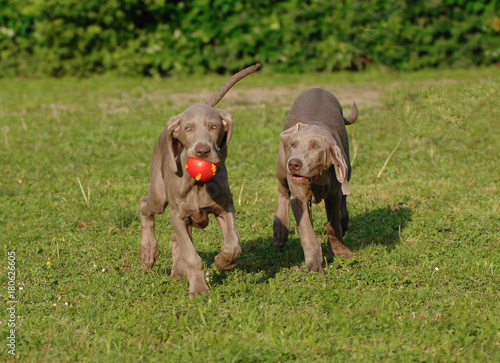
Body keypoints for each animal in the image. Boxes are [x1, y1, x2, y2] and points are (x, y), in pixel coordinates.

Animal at [139, 64, 260, 298]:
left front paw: (224, 262)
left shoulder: (225, 207)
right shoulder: (178, 214)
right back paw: (147, 254)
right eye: (188, 128)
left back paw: (177, 272)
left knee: (176, 238)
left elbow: (233, 244)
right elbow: (192, 256)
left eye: (214, 126)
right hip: (159, 195)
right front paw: (199, 289)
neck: (198, 184)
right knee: (144, 205)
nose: (202, 151)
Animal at [272, 89, 358, 274]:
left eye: (315, 146)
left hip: (347, 165)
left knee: (344, 195)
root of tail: (317, 89)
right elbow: (307, 232)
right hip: (281, 167)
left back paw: (344, 220)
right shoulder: (299, 198)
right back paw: (280, 231)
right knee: (283, 191)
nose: (294, 164)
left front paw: (340, 250)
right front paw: (313, 264)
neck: (317, 177)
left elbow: (333, 224)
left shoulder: (333, 195)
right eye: (293, 144)